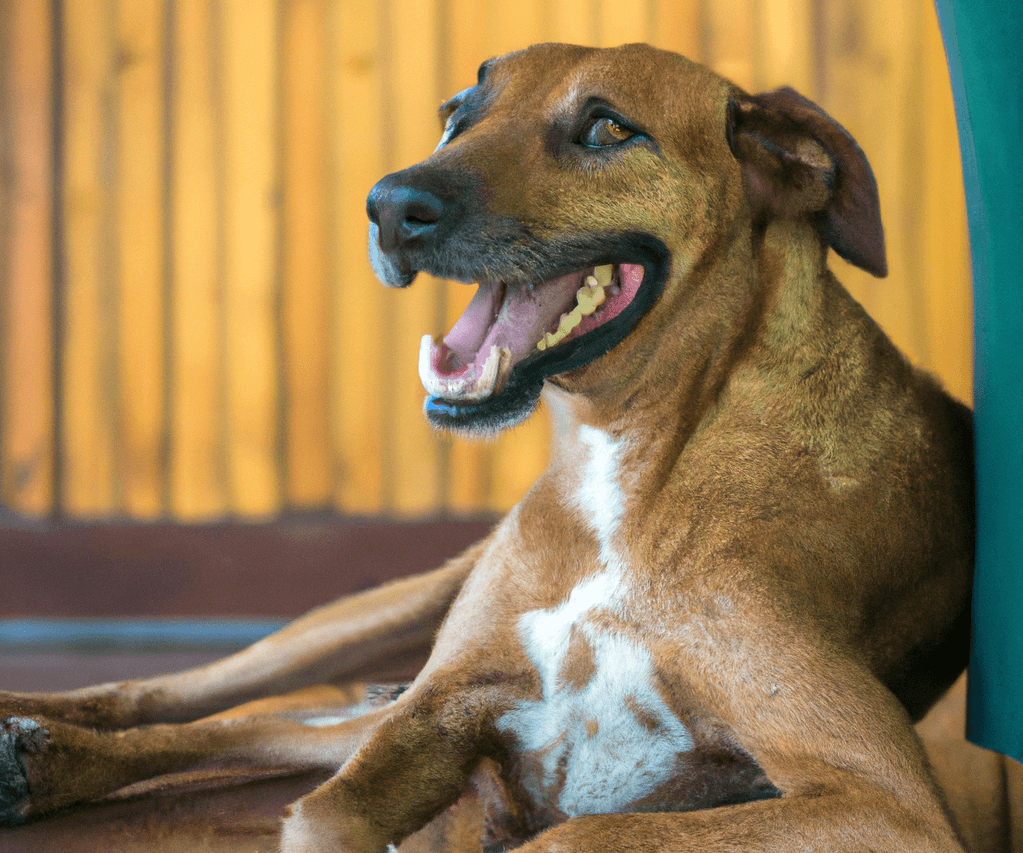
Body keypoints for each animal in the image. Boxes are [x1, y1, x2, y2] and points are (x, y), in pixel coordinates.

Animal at [0, 45, 973, 850]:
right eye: (456, 113)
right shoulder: (437, 710)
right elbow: (320, 807)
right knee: (196, 697)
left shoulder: (883, 802)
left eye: (607, 127)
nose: (390, 205)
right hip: (382, 615)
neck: (622, 463)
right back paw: (38, 736)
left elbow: (575, 837)